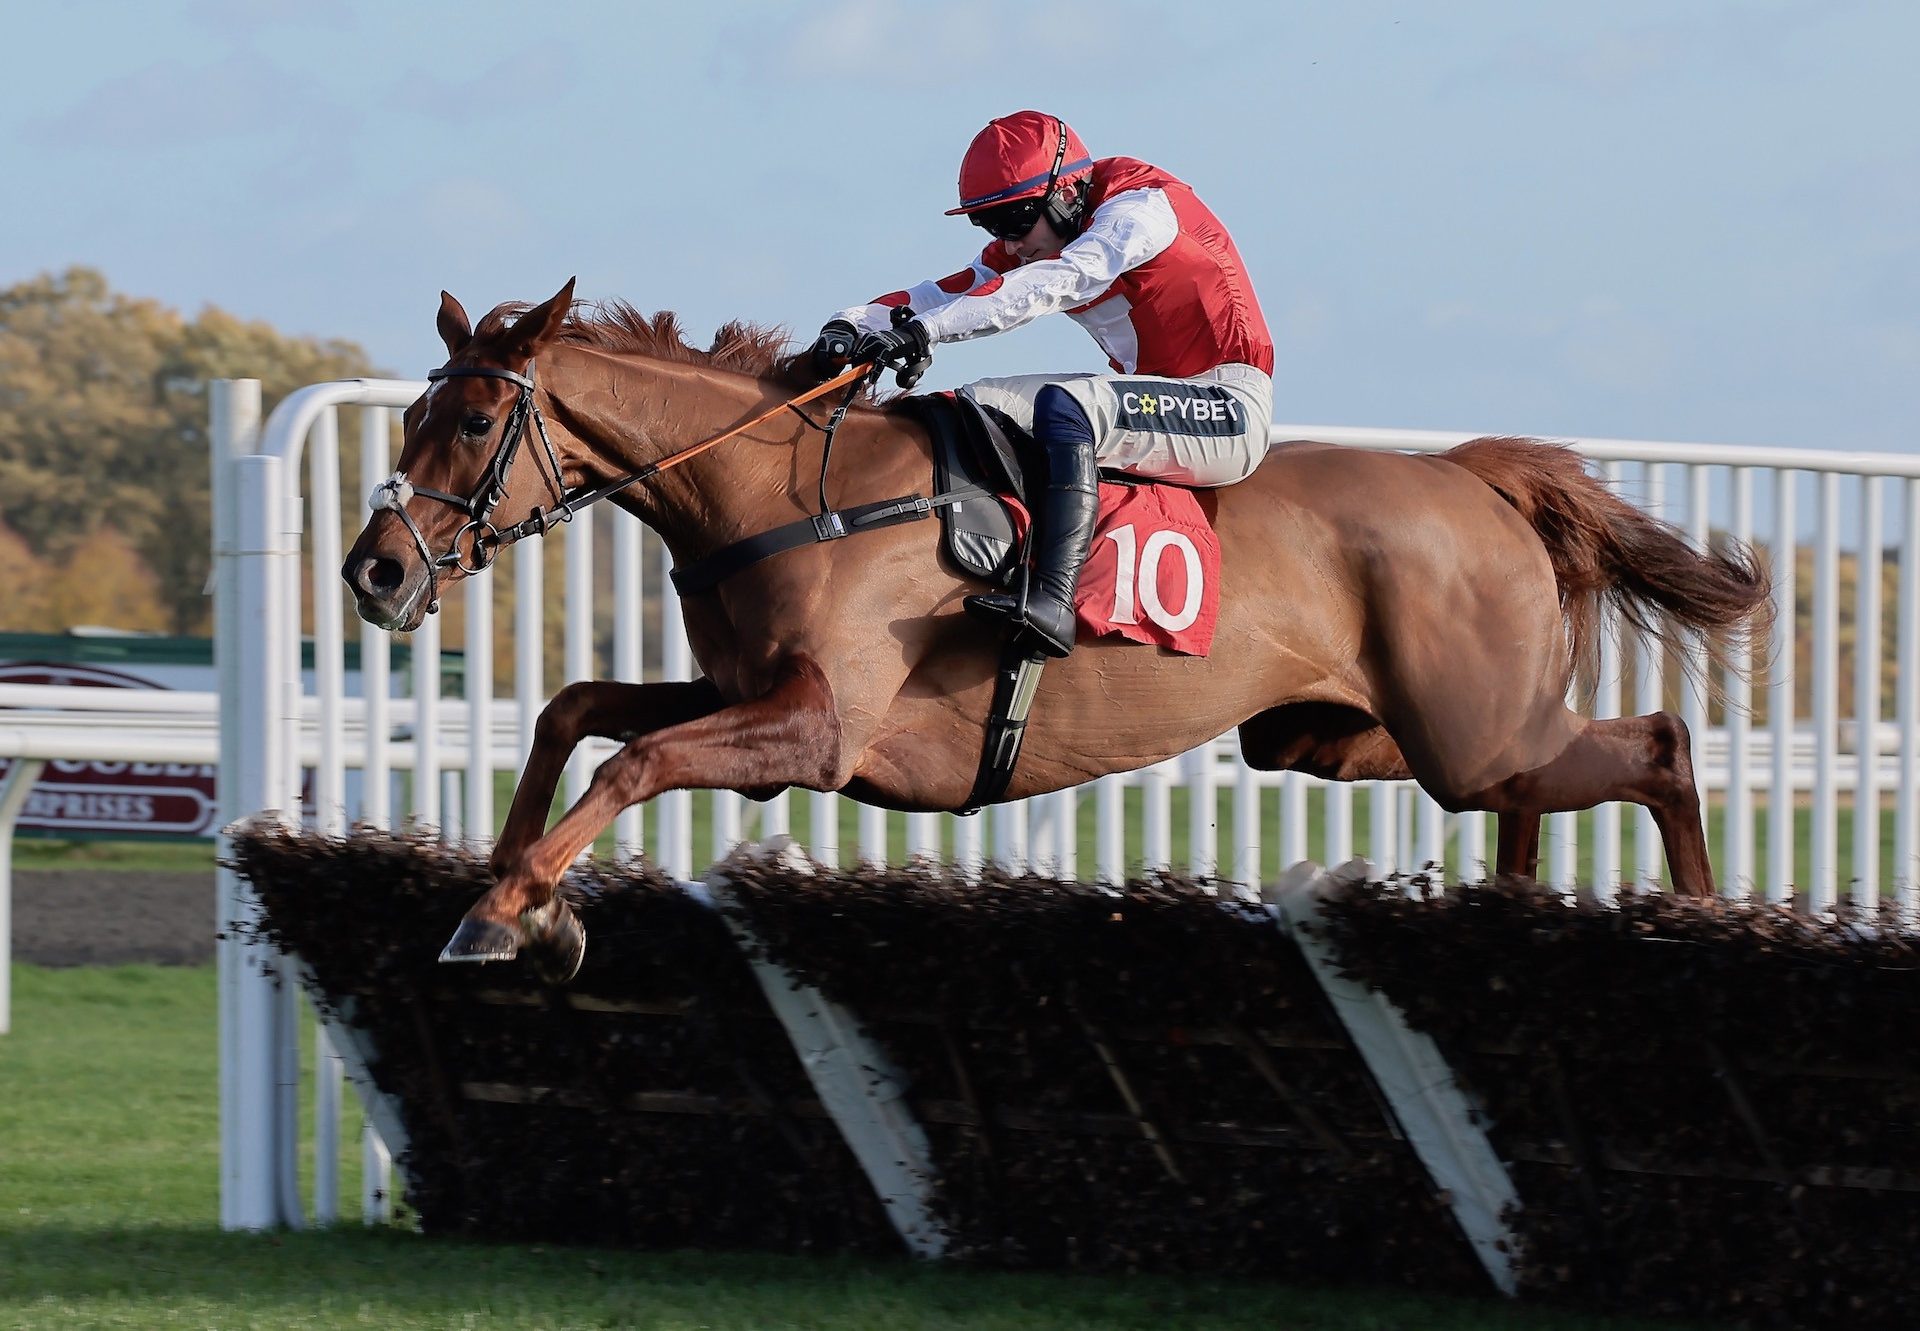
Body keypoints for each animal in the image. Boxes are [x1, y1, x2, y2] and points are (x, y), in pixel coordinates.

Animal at [341, 280, 1766, 979]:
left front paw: (507, 910)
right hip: (1339, 733)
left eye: (474, 421)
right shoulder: (750, 694)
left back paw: (1704, 921)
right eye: (412, 413)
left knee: (1659, 743)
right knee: (1538, 786)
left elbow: (632, 758)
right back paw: (1522, 912)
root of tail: (1476, 477)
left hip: (1464, 728)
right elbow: (574, 710)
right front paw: (520, 892)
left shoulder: (817, 730)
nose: (373, 570)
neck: (782, 494)